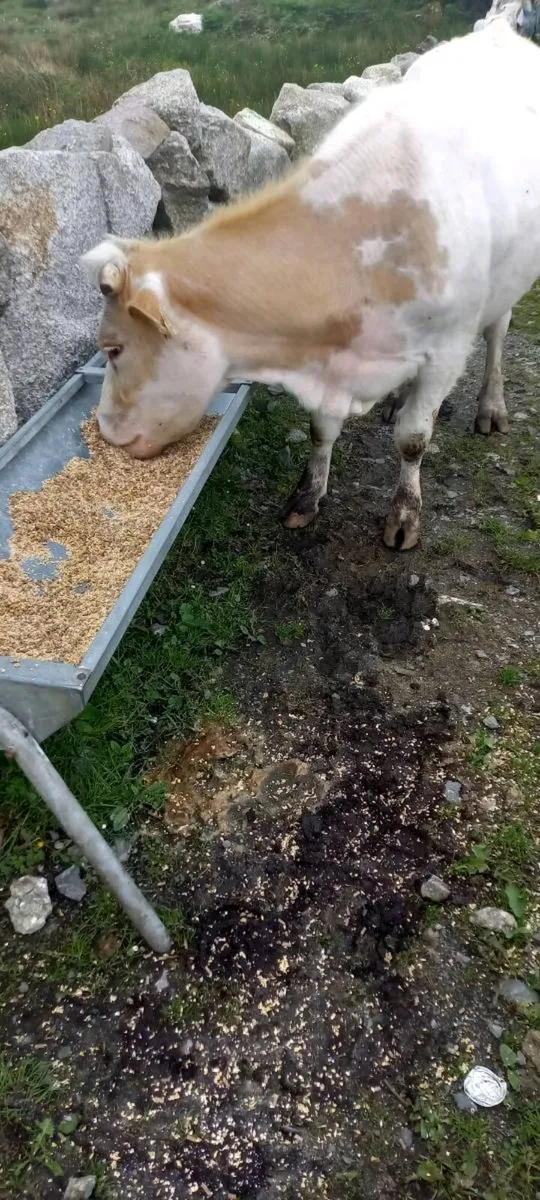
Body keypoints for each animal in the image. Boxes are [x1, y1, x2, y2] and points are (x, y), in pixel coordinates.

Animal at [83, 20, 540, 550]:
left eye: (114, 349)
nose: (106, 432)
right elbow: (322, 430)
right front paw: (307, 496)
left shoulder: (447, 348)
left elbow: (414, 439)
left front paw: (404, 516)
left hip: (507, 283)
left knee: (497, 334)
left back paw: (491, 407)